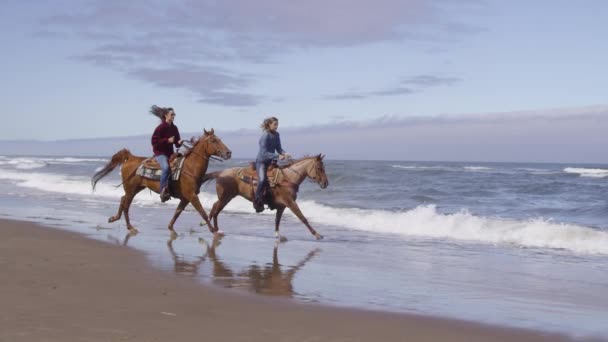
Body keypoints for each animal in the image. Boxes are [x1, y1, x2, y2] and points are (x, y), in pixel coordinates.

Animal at [91, 127, 232, 236]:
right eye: (214, 140)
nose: (228, 153)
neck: (189, 168)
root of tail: (130, 157)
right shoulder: (192, 196)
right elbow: (202, 212)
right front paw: (214, 231)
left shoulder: (185, 198)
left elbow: (177, 213)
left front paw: (170, 228)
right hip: (131, 189)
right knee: (126, 204)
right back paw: (130, 227)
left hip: (136, 188)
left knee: (122, 199)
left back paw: (114, 219)